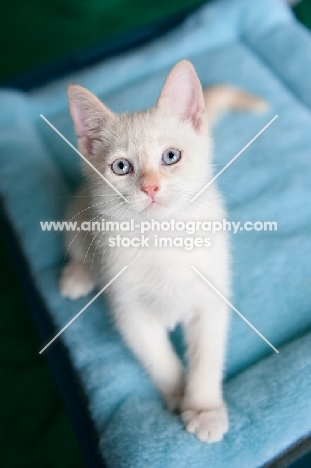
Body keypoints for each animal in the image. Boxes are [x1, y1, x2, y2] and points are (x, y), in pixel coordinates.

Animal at [61, 61, 268, 442]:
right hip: (77, 211)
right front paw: (177, 394)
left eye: (170, 156)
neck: (162, 237)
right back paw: (77, 275)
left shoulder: (211, 299)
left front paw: (203, 408)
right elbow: (158, 358)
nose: (151, 187)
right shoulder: (129, 312)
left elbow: (206, 357)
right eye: (121, 166)